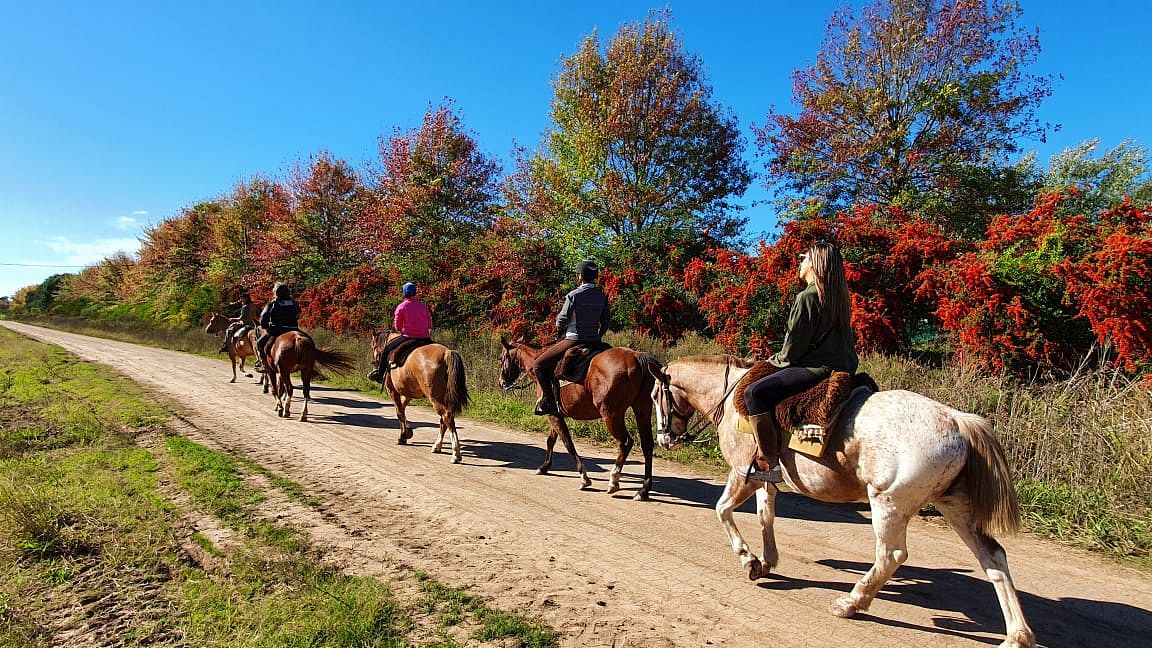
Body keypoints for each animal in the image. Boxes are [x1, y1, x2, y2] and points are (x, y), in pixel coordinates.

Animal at [373, 329, 472, 461]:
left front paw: (403, 436)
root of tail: (447, 353)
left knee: (447, 418)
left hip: (435, 398)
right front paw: (407, 432)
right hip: (443, 398)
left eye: (373, 345)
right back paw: (437, 446)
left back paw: (455, 454)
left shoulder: (392, 391)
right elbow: (402, 410)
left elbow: (399, 412)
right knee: (444, 420)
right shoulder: (408, 394)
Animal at [497, 338, 668, 500]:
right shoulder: (556, 414)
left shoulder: (553, 415)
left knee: (625, 443)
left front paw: (584, 478)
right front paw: (544, 466)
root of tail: (637, 357)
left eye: (501, 358)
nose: (501, 382)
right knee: (647, 445)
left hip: (611, 415)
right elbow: (551, 440)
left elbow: (568, 443)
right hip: (642, 409)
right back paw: (643, 490)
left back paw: (613, 481)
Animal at [654, 352, 1041, 645]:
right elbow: (766, 516)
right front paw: (766, 561)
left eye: (657, 396)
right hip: (955, 507)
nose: (663, 438)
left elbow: (722, 510)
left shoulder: (741, 473)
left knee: (891, 555)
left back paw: (852, 602)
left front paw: (748, 559)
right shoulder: (764, 476)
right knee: (993, 557)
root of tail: (957, 420)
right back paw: (1017, 635)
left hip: (888, 505)